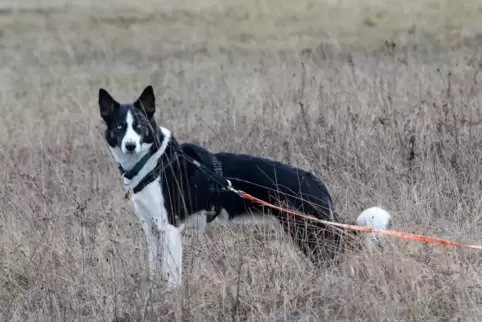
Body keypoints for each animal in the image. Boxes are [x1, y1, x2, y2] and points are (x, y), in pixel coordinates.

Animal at [98, 85, 392, 290]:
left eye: (139, 127)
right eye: (120, 127)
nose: (130, 145)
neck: (154, 160)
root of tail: (316, 182)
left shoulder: (170, 228)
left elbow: (171, 276)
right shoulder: (151, 228)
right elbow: (153, 269)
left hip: (309, 234)